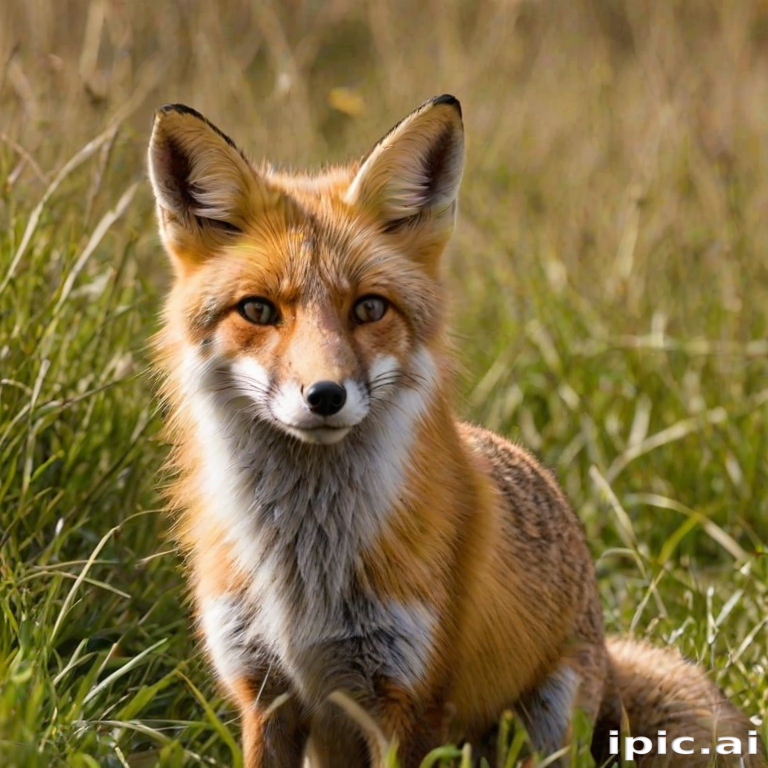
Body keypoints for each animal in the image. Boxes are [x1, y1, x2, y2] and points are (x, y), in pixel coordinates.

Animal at [148, 95, 764, 768]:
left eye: (369, 308)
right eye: (258, 310)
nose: (326, 395)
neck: (305, 578)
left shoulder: (410, 699)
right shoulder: (264, 693)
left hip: (545, 724)